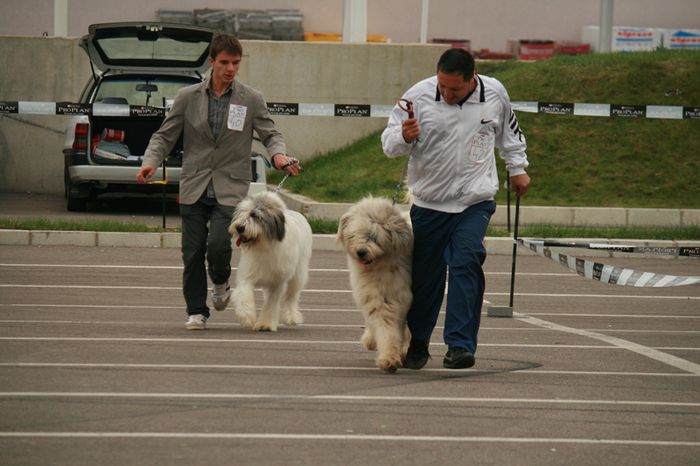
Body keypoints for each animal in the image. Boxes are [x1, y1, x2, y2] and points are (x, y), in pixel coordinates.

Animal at [230, 192, 312, 332]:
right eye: (241, 213)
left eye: (255, 215)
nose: (239, 227)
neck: (264, 245)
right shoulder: (247, 275)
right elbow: (243, 294)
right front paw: (246, 316)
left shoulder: (278, 282)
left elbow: (271, 303)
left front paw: (265, 324)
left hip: (298, 273)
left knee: (291, 296)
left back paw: (291, 316)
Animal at [336, 197, 412, 374]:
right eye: (354, 234)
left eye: (374, 236)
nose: (361, 252)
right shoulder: (378, 298)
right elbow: (385, 327)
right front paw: (389, 359)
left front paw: (402, 353)